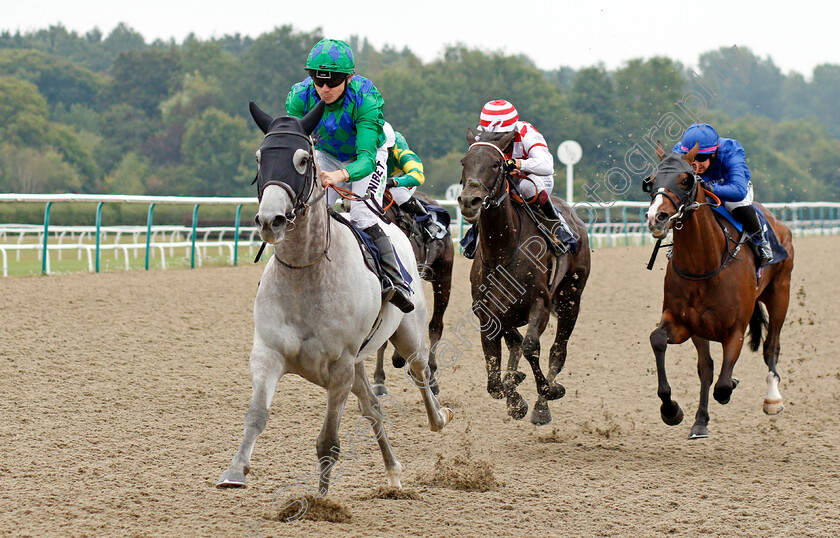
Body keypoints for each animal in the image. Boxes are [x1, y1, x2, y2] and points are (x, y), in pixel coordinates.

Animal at [460, 127, 592, 426]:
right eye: (464, 161)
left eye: (496, 164)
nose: (469, 201)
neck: (502, 251)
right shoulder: (486, 312)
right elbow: (495, 375)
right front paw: (515, 396)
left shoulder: (540, 303)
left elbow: (531, 346)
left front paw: (548, 391)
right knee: (516, 346)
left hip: (571, 298)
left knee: (557, 351)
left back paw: (542, 406)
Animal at [644, 144, 796, 438]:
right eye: (651, 181)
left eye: (685, 179)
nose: (657, 217)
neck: (705, 263)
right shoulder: (686, 324)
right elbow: (660, 341)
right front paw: (673, 410)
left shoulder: (735, 329)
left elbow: (723, 385)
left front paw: (733, 384)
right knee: (707, 367)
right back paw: (700, 420)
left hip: (780, 292)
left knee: (771, 346)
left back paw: (773, 398)